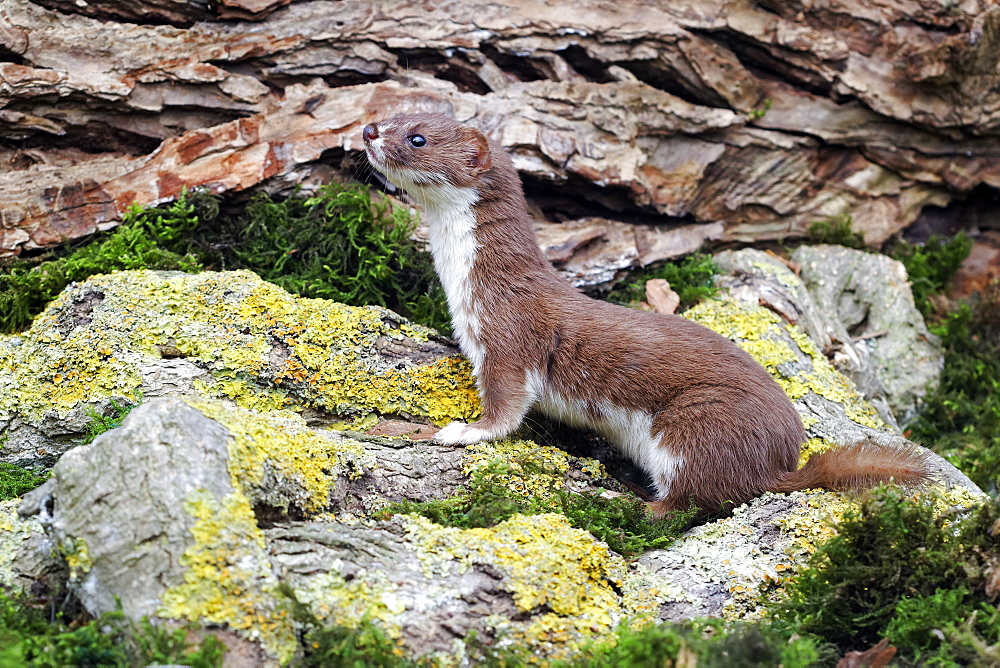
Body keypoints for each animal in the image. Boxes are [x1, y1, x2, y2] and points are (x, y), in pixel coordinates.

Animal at [364, 112, 932, 516]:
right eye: (393, 112)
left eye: (417, 137)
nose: (368, 130)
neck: (466, 286)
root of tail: (778, 465)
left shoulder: (509, 337)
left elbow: (506, 409)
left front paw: (462, 431)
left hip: (696, 423)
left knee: (684, 504)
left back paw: (615, 495)